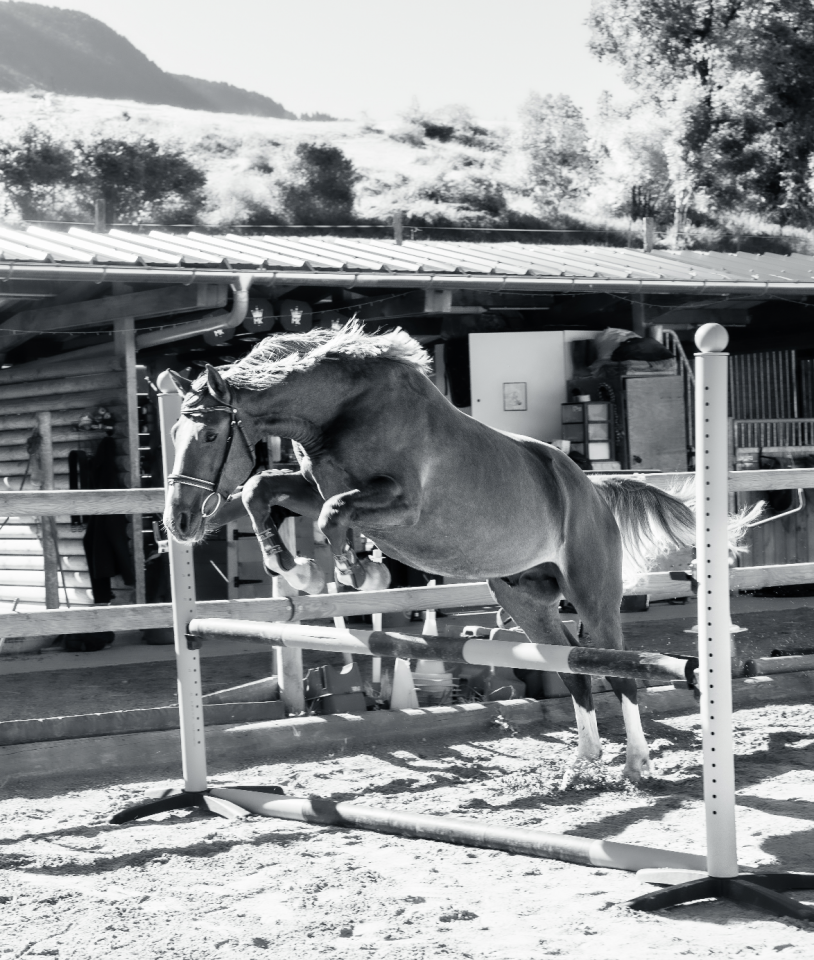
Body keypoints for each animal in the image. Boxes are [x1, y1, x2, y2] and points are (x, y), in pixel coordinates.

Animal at [164, 322, 758, 783]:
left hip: (593, 595)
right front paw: (294, 568)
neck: (342, 411)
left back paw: (636, 764)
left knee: (619, 670)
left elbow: (333, 513)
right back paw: (583, 763)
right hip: (525, 599)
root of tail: (593, 489)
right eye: (174, 433)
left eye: (212, 434)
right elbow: (259, 488)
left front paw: (348, 569)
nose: (179, 522)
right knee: (572, 668)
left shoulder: (402, 504)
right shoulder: (312, 485)